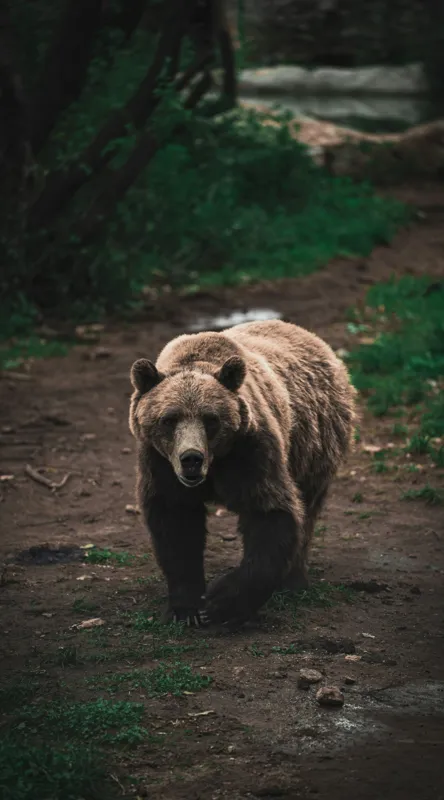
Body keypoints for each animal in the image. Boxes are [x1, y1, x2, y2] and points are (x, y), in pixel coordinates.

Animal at [129, 319, 356, 626]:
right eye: (169, 419)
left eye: (210, 419)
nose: (192, 459)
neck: (215, 465)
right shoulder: (160, 463)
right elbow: (176, 527)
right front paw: (187, 608)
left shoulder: (251, 452)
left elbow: (270, 512)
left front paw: (220, 603)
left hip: (314, 444)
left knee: (307, 509)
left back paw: (293, 580)